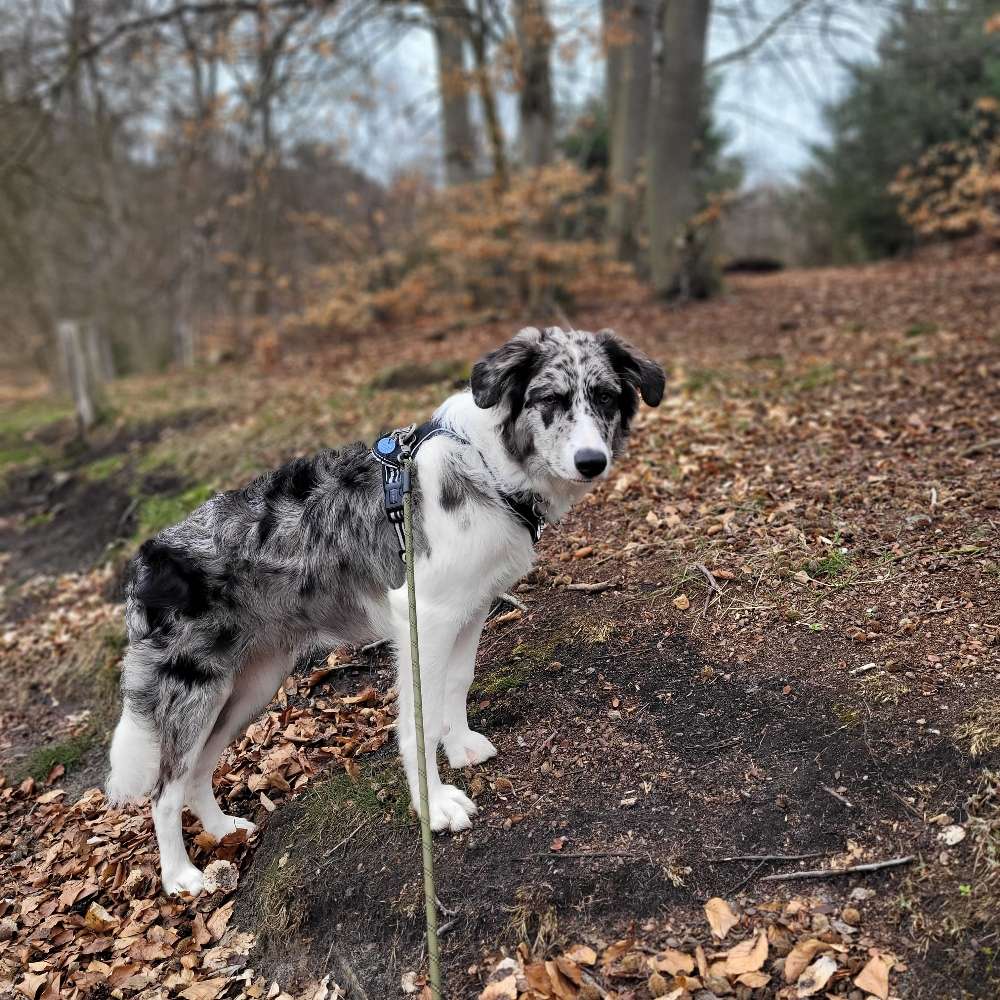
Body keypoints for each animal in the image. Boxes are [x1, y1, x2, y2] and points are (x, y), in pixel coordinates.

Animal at [107, 324, 664, 896]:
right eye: (549, 399)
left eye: (605, 397)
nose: (591, 460)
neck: (486, 466)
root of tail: (149, 559)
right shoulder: (425, 616)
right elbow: (420, 720)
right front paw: (435, 806)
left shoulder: (469, 609)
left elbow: (456, 685)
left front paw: (460, 747)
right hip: (196, 697)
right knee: (164, 793)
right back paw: (181, 876)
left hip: (249, 687)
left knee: (196, 774)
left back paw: (222, 831)